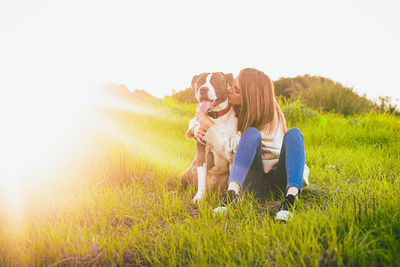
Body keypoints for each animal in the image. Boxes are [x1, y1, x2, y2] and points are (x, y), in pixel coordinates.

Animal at [180, 72, 238, 204]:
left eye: (215, 81)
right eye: (199, 82)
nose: (203, 89)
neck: (218, 117)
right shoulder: (202, 150)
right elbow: (202, 177)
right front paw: (199, 197)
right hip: (187, 173)